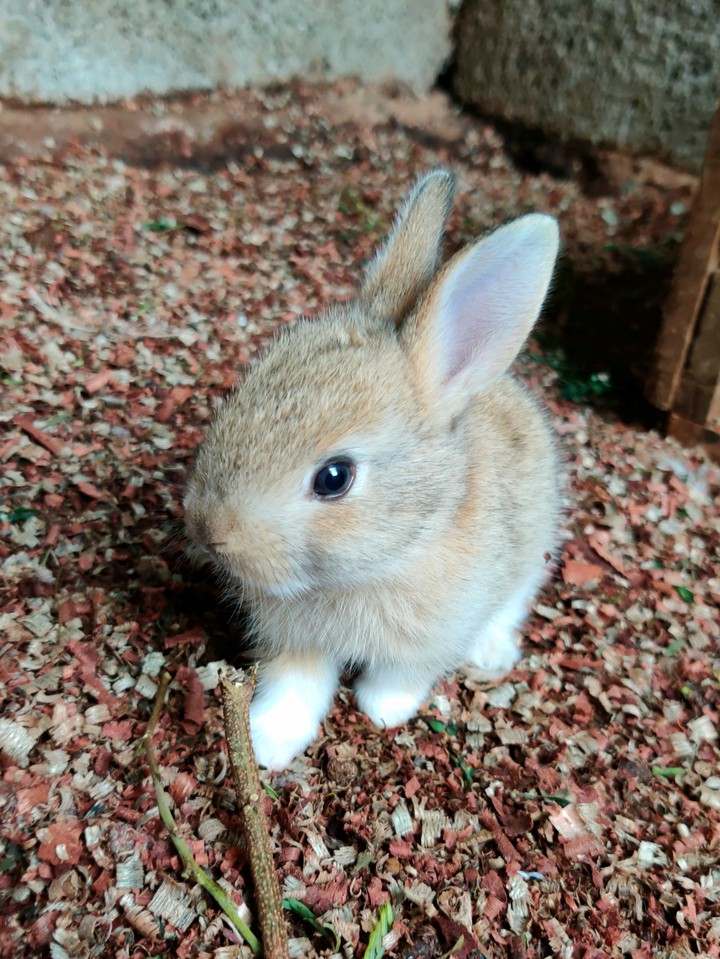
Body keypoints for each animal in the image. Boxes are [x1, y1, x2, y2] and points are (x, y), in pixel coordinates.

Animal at [184, 170, 560, 770]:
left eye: (334, 477)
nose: (209, 531)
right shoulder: (295, 642)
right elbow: (295, 686)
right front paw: (268, 743)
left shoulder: (429, 640)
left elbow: (399, 677)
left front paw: (382, 711)